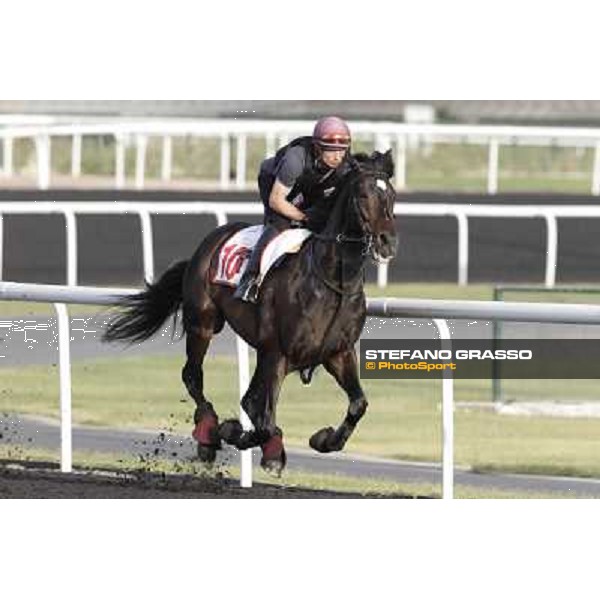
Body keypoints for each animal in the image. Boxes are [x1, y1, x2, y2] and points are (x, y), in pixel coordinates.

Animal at [103, 150, 398, 474]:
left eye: (392, 195)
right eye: (362, 195)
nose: (387, 241)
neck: (331, 282)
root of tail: (211, 240)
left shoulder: (337, 353)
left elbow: (358, 404)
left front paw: (324, 439)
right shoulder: (278, 353)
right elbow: (263, 419)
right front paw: (234, 432)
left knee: (248, 399)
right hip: (204, 323)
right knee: (194, 376)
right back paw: (208, 432)